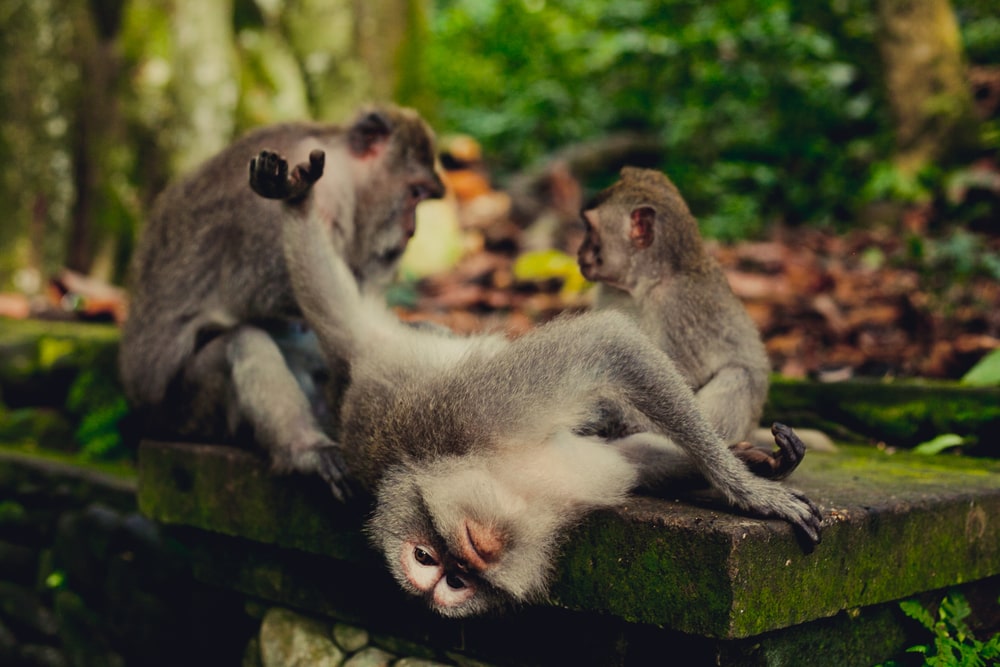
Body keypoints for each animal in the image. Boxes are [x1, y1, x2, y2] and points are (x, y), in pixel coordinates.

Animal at [119, 105, 444, 500]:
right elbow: (263, 294)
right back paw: (305, 450)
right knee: (244, 341)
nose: (411, 230)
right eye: (415, 193)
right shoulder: (294, 200)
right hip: (186, 410)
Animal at [248, 149, 820, 620]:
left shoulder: (472, 416)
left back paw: (297, 203)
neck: (515, 487)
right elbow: (638, 454)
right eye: (437, 568)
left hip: (391, 341)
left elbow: (608, 343)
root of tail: (360, 368)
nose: (464, 562)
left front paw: (750, 488)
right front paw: (757, 467)